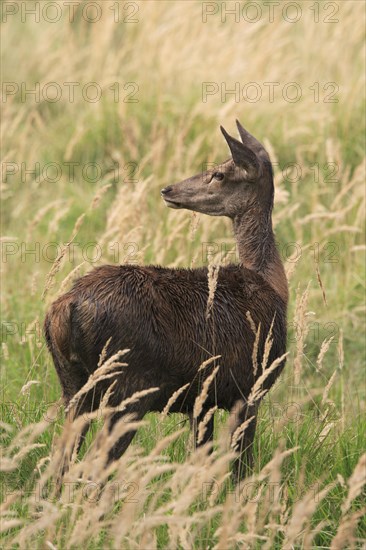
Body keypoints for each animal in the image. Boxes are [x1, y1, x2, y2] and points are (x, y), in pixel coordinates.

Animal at [43, 119, 288, 478]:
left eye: (219, 174)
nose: (168, 190)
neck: (274, 285)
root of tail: (66, 307)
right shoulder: (251, 387)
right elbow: (240, 471)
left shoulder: (203, 400)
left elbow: (203, 460)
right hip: (128, 388)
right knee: (95, 465)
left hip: (72, 385)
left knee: (59, 459)